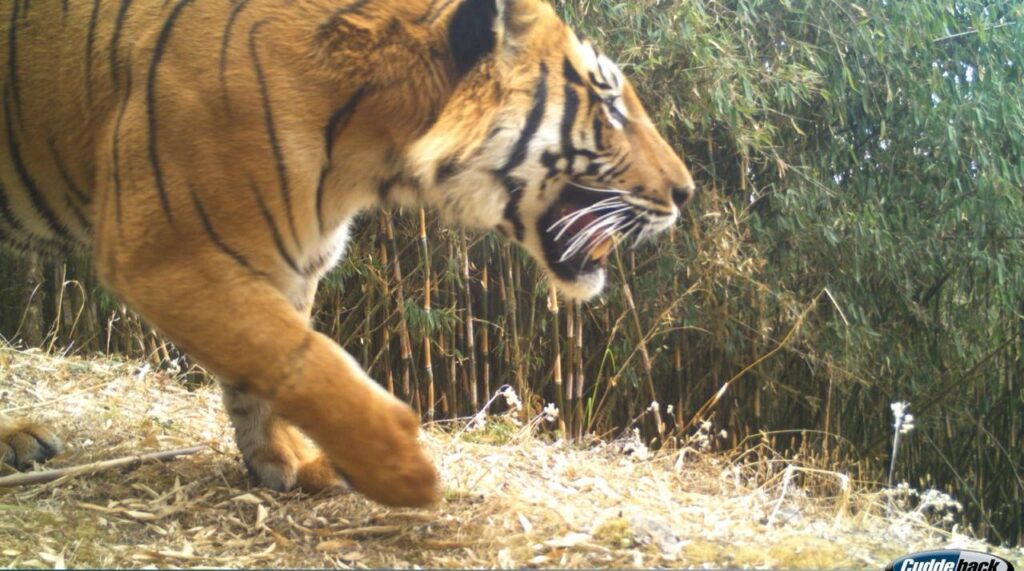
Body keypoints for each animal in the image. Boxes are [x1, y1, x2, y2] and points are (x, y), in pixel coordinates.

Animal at [0, 0, 696, 506]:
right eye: (609, 105)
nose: (686, 192)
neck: (370, 156)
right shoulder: (163, 248)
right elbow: (302, 359)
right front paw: (402, 470)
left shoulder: (282, 262)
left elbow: (265, 368)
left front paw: (284, 462)